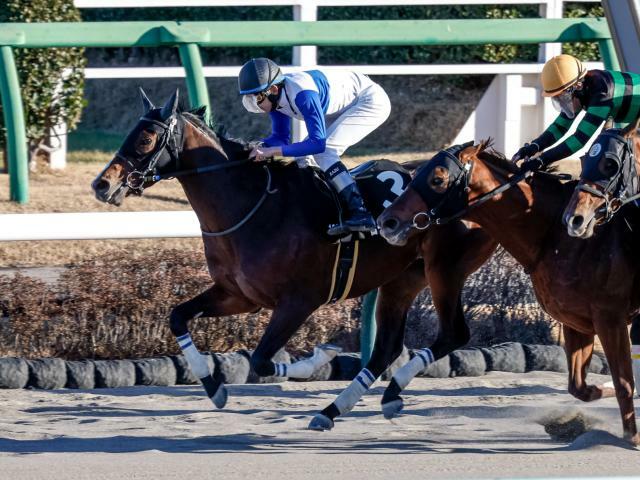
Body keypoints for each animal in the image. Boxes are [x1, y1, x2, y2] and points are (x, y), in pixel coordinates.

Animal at [92, 89, 498, 428]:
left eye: (146, 138)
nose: (102, 184)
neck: (254, 207)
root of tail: (483, 184)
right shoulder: (239, 296)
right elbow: (178, 317)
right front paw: (213, 387)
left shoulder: (299, 301)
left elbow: (261, 359)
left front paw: (322, 356)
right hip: (402, 278)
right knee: (386, 349)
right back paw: (351, 406)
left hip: (444, 270)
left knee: (453, 334)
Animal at [378, 142, 640, 446]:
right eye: (419, 171)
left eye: (438, 179)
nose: (388, 221)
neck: (557, 236)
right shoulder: (575, 321)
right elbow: (580, 387)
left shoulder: (610, 318)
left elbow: (624, 382)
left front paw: (633, 437)